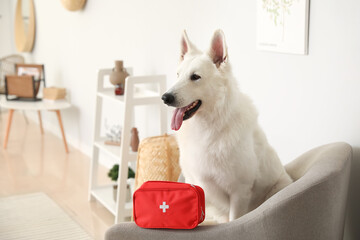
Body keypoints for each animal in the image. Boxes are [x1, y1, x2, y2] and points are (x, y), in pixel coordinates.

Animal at [162, 30, 292, 223]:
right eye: (178, 75)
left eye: (195, 77)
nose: (165, 97)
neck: (209, 125)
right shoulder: (196, 184)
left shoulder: (239, 192)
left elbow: (235, 220)